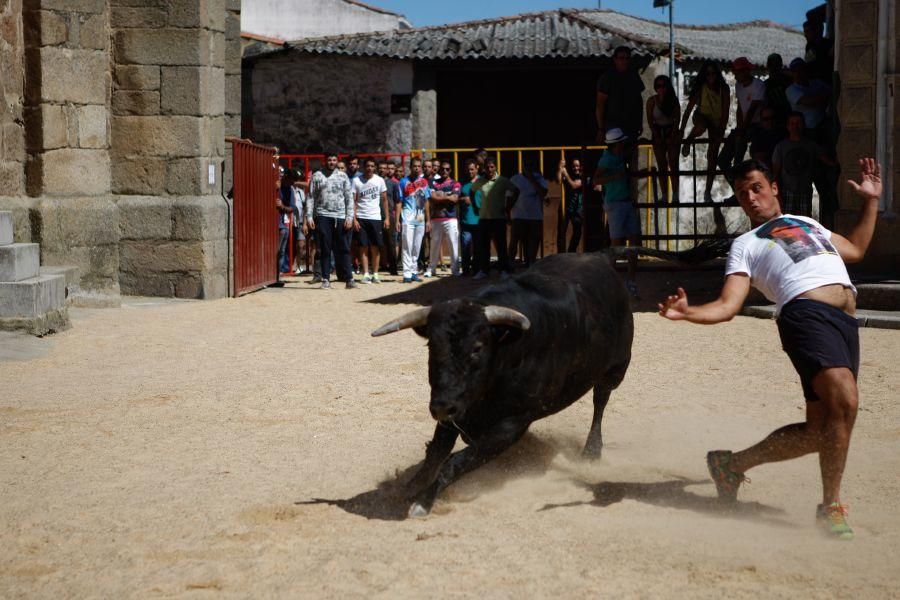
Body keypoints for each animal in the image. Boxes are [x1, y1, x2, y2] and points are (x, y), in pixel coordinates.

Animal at [370, 253, 632, 516]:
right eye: (431, 346)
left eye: (477, 347)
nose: (441, 407)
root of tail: (599, 257)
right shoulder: (457, 407)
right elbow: (436, 452)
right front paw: (407, 489)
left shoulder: (512, 424)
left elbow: (456, 461)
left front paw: (423, 502)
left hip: (615, 369)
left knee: (600, 401)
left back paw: (592, 451)